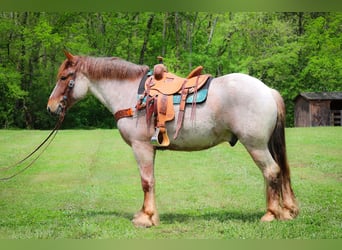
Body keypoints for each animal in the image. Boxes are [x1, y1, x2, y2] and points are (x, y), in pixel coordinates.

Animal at [46, 50, 298, 227]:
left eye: (65, 77)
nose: (51, 107)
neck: (132, 95)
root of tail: (267, 90)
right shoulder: (150, 148)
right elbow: (151, 181)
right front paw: (147, 214)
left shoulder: (141, 147)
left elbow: (146, 182)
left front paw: (146, 218)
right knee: (277, 173)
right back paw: (285, 211)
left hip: (256, 146)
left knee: (272, 172)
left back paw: (270, 215)